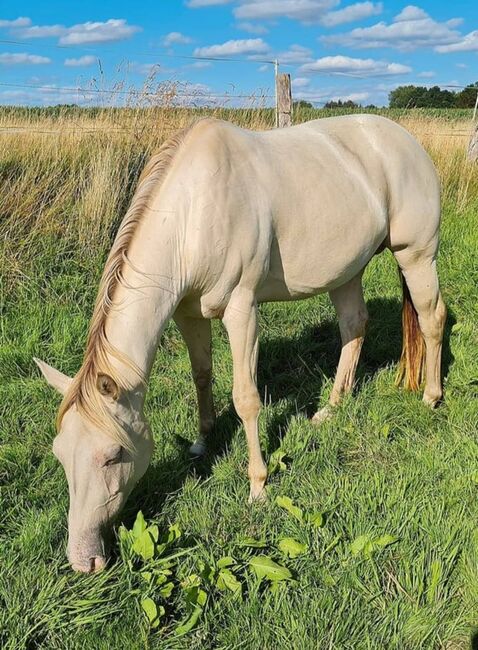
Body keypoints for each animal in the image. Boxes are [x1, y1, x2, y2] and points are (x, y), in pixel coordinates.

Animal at [35, 116, 446, 572]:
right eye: (59, 454)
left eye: (112, 455)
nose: (83, 559)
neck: (193, 214)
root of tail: (406, 140)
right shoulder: (188, 314)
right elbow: (201, 375)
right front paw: (202, 441)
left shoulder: (241, 310)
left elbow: (246, 398)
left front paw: (259, 486)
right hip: (347, 270)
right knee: (354, 326)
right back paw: (331, 408)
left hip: (416, 255)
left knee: (432, 317)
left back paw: (431, 396)